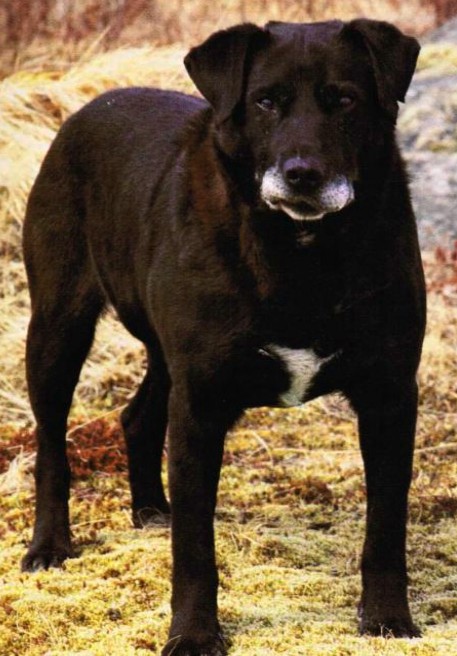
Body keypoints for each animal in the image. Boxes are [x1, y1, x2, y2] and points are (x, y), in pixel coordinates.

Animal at [23, 18, 424, 652]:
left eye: (344, 100)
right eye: (265, 101)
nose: (303, 174)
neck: (300, 253)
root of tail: (87, 106)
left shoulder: (390, 395)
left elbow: (386, 526)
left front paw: (387, 620)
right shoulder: (202, 404)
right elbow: (194, 548)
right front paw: (193, 635)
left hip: (165, 355)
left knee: (137, 416)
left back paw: (150, 509)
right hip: (58, 326)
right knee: (50, 443)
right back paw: (49, 545)